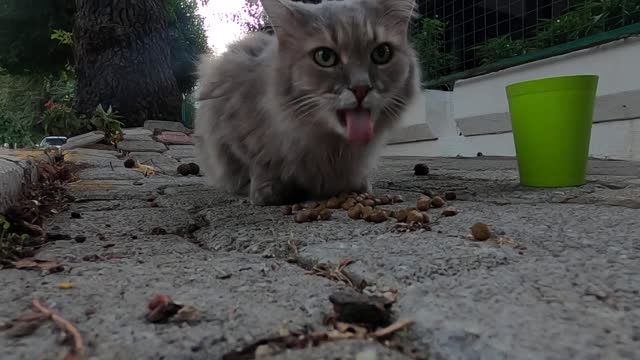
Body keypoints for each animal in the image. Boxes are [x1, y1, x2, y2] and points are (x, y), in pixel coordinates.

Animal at [198, 0, 422, 205]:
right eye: (325, 57)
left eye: (382, 53)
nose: (361, 88)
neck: (332, 149)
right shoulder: (231, 123)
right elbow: (257, 164)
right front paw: (268, 190)